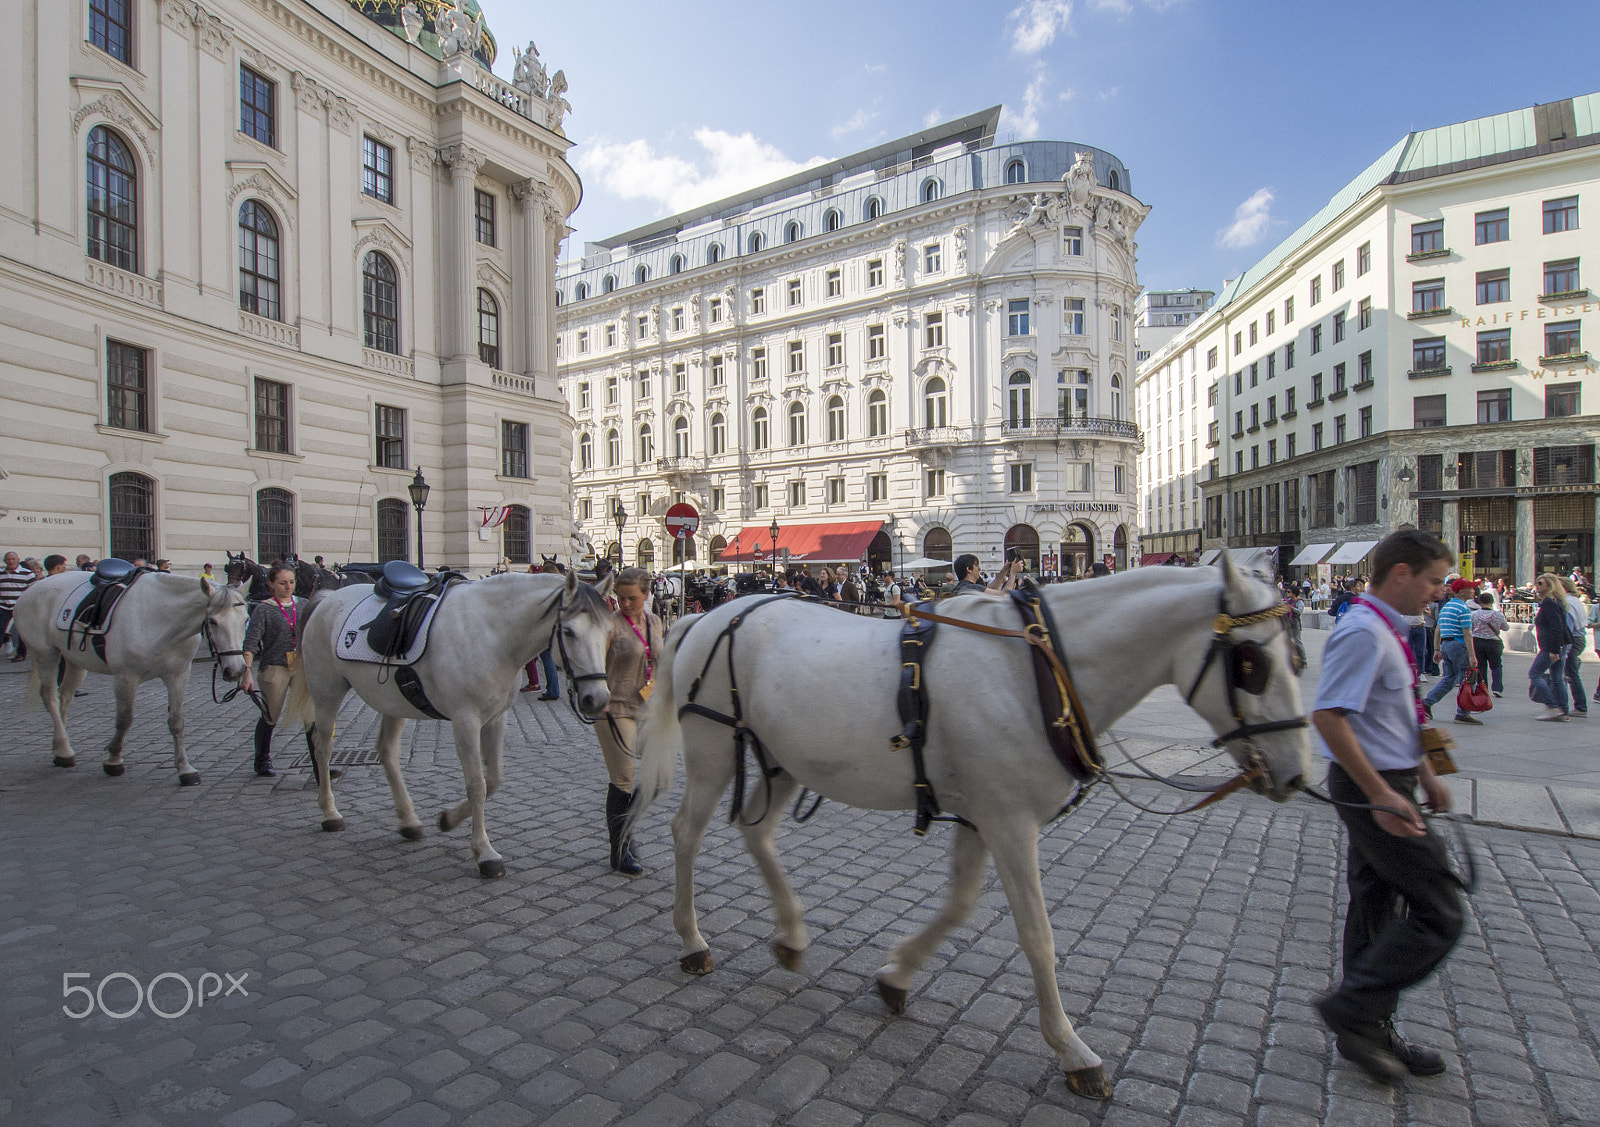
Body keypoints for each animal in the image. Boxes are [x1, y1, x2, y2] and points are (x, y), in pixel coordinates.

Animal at [14, 573, 249, 784]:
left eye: (246, 619)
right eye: (213, 621)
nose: (236, 670)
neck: (161, 617)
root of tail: (31, 588)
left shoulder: (178, 675)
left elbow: (176, 721)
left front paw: (184, 768)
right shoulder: (126, 678)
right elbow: (124, 719)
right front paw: (113, 759)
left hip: (74, 660)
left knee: (65, 696)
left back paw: (59, 747)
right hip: (46, 655)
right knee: (50, 697)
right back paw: (64, 750)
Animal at [288, 573, 611, 883]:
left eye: (608, 632)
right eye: (568, 632)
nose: (597, 699)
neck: (492, 635)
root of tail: (327, 598)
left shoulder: (495, 719)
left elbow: (494, 779)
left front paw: (449, 820)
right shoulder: (465, 721)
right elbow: (477, 785)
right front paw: (484, 853)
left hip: (392, 702)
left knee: (387, 753)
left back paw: (408, 821)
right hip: (327, 693)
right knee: (323, 747)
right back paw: (330, 813)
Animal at [624, 553, 1312, 1101]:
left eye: (1296, 654)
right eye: (1250, 662)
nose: (1298, 774)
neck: (1040, 672)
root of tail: (710, 614)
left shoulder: (984, 816)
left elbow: (959, 904)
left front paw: (896, 974)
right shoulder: (1010, 823)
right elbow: (1037, 937)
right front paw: (1072, 1050)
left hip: (787, 759)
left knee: (756, 831)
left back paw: (791, 935)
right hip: (714, 749)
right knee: (686, 831)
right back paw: (692, 941)